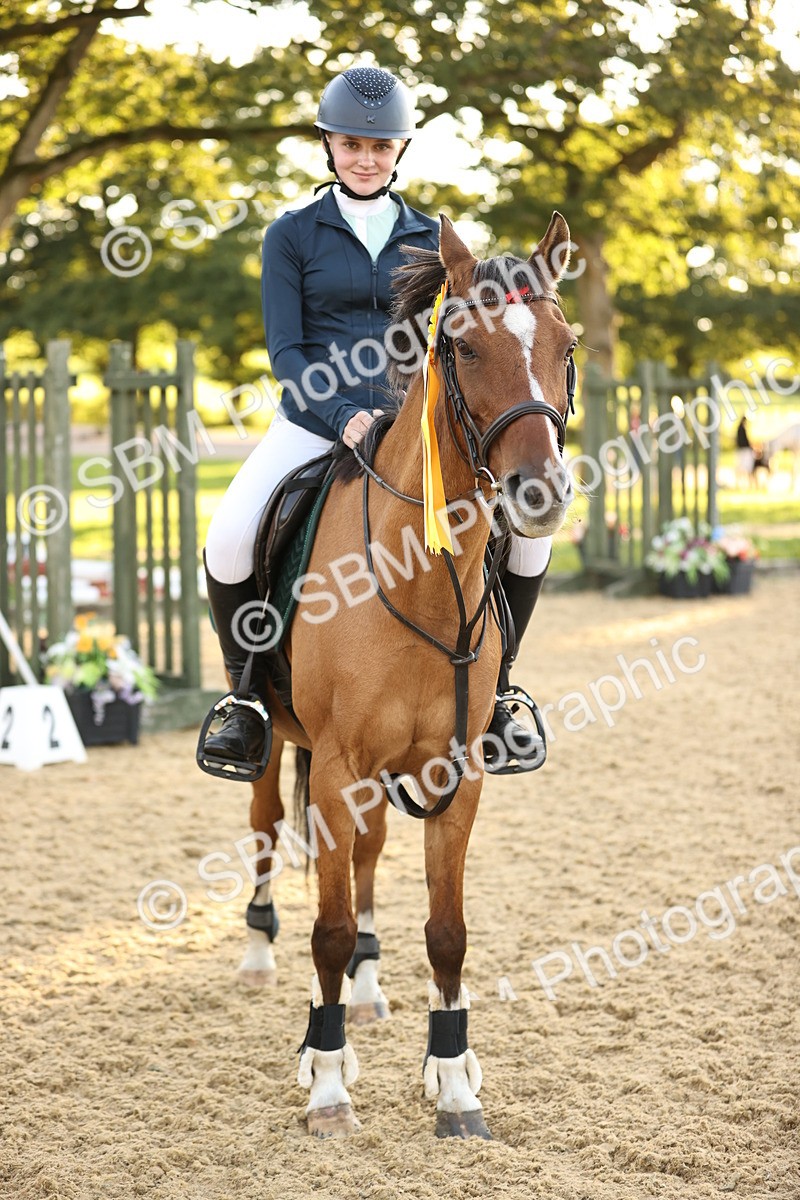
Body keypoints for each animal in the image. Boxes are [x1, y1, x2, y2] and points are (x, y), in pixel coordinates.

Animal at [230, 213, 577, 1140]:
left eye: (566, 346)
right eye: (464, 348)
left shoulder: (453, 773)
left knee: (368, 858)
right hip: (279, 745)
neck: (419, 577)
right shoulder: (337, 769)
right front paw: (327, 1087)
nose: (540, 491)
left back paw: (367, 993)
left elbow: (445, 930)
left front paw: (453, 1084)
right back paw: (260, 957)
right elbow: (325, 929)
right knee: (267, 830)